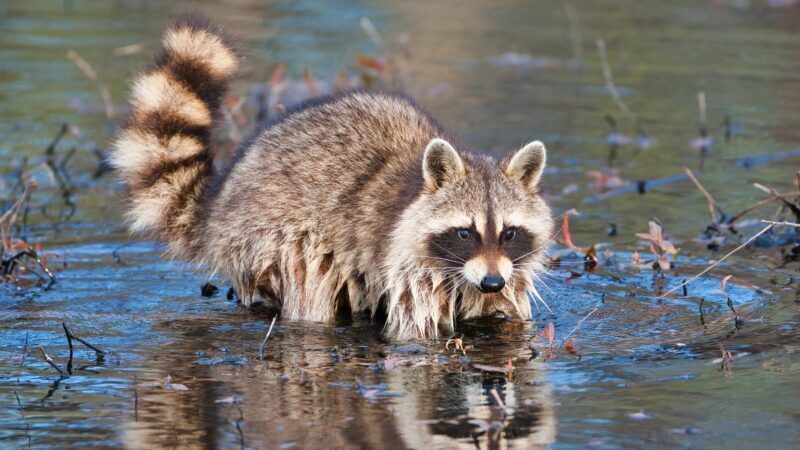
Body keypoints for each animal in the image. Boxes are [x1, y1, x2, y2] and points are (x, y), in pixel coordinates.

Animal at [109, 17, 552, 342]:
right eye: (464, 233)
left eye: (510, 232)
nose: (491, 281)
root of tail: (221, 203)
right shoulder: (410, 264)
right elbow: (413, 328)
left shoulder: (510, 268)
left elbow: (503, 312)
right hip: (272, 237)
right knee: (310, 286)